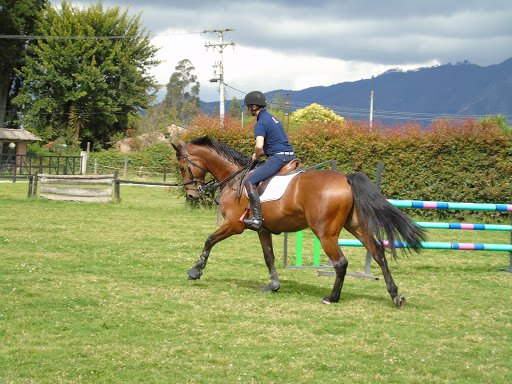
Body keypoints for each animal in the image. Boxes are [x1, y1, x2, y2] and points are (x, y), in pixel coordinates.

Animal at [172, 136, 424, 308]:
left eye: (183, 167)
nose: (192, 195)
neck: (234, 177)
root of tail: (345, 178)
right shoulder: (262, 229)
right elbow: (269, 257)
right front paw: (273, 285)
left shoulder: (234, 225)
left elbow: (209, 240)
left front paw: (196, 270)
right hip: (356, 226)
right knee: (378, 253)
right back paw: (395, 295)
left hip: (325, 233)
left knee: (341, 262)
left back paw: (332, 298)